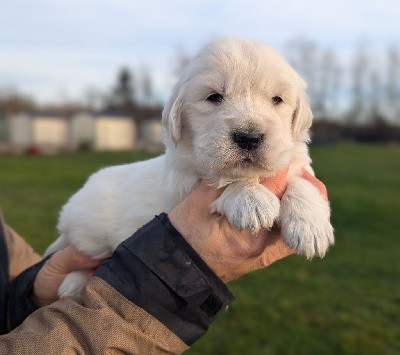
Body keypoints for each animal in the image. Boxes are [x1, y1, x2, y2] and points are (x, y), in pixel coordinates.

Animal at [45, 39, 334, 298]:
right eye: (214, 97)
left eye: (277, 99)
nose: (249, 137)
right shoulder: (185, 183)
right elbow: (224, 178)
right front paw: (250, 198)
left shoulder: (296, 162)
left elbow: (302, 180)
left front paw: (311, 226)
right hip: (90, 235)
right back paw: (72, 283)